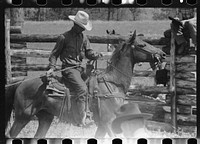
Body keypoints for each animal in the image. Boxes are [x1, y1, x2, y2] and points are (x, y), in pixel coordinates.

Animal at [6, 30, 166, 138]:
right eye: (142, 44)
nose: (163, 54)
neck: (113, 85)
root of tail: (20, 83)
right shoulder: (108, 123)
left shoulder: (102, 126)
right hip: (22, 117)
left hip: (45, 118)